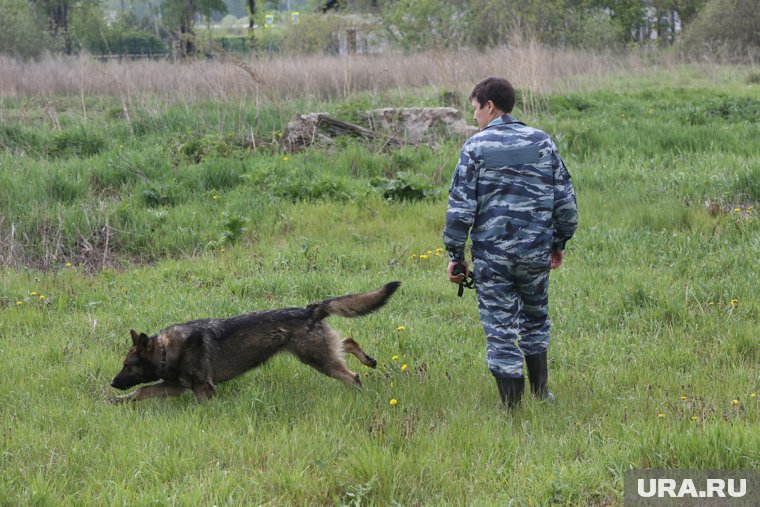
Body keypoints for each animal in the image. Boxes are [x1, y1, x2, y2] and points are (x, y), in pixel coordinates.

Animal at [111, 280, 404, 402]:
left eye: (127, 365)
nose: (112, 383)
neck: (166, 350)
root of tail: (310, 309)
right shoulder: (174, 387)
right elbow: (141, 392)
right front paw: (119, 401)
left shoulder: (204, 389)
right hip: (319, 353)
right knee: (348, 341)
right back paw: (368, 360)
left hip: (319, 360)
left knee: (353, 377)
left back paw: (361, 394)